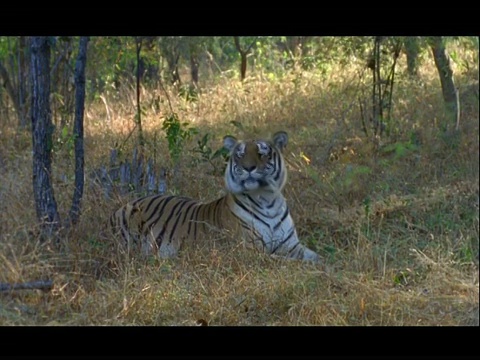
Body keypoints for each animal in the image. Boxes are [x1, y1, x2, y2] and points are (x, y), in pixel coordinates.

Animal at [110, 131, 320, 262]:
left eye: (262, 153)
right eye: (240, 155)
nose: (248, 167)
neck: (268, 200)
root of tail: (125, 203)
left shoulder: (292, 246)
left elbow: (317, 257)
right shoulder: (248, 250)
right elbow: (287, 262)